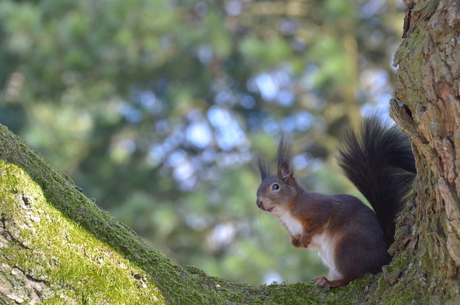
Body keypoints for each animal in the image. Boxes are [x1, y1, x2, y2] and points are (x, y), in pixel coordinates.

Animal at [255, 116, 416, 290]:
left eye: (275, 187)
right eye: (258, 188)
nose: (258, 203)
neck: (287, 211)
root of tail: (382, 258)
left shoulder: (318, 208)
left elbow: (317, 222)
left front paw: (304, 238)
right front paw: (295, 242)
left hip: (347, 246)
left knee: (352, 276)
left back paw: (330, 282)